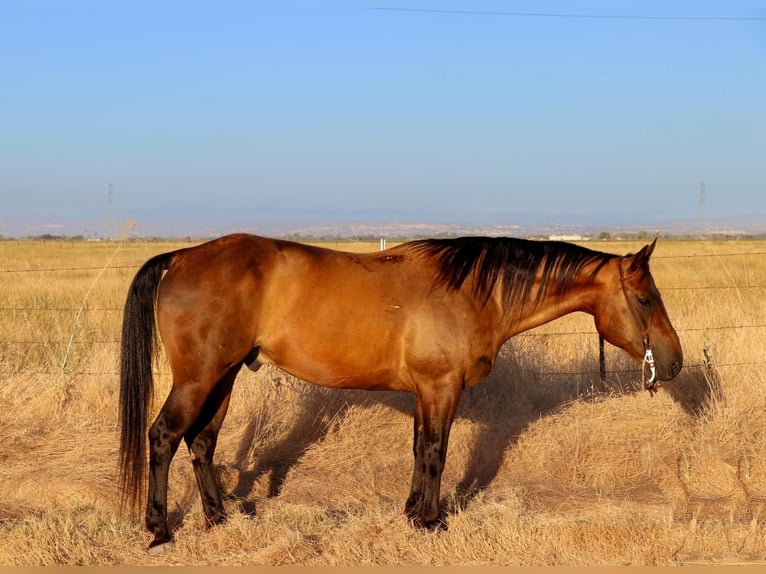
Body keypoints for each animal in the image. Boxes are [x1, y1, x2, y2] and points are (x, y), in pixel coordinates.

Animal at [118, 233, 682, 550]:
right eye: (645, 299)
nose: (673, 362)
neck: (472, 291)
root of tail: (182, 258)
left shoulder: (424, 392)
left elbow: (419, 450)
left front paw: (413, 513)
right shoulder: (440, 387)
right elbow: (436, 452)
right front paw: (432, 522)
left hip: (225, 376)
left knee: (202, 442)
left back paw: (218, 519)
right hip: (199, 378)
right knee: (164, 436)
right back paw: (160, 529)